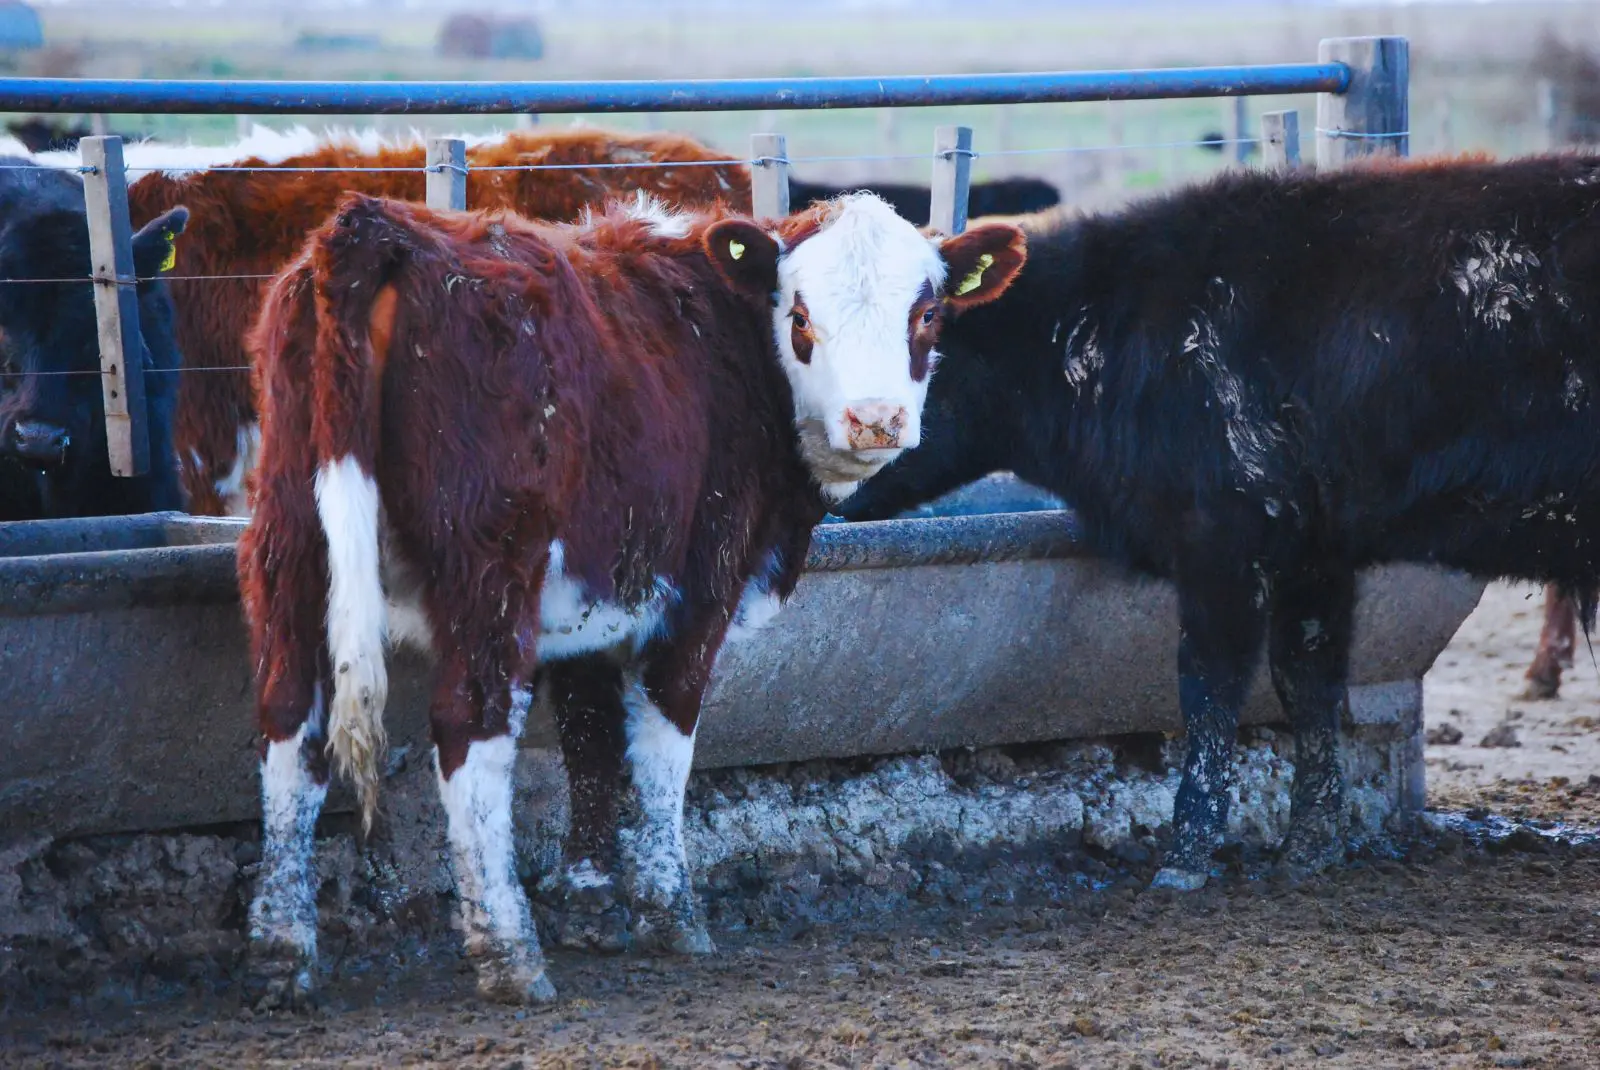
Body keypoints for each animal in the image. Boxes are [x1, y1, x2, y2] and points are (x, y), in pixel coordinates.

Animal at [236, 187, 1024, 1004]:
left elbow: (588, 737)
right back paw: (508, 951)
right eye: (801, 317)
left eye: (925, 314)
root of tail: (377, 227)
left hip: (291, 546)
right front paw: (669, 910)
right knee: (468, 729)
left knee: (288, 723)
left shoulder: (593, 595)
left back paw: (282, 950)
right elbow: (662, 744)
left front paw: (589, 898)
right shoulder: (699, 591)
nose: (875, 419)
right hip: (488, 568)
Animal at [832, 154, 1600, 889]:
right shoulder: (1314, 546)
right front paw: (1309, 846)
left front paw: (1187, 853)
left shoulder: (1222, 538)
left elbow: (1208, 687)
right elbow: (1307, 681)